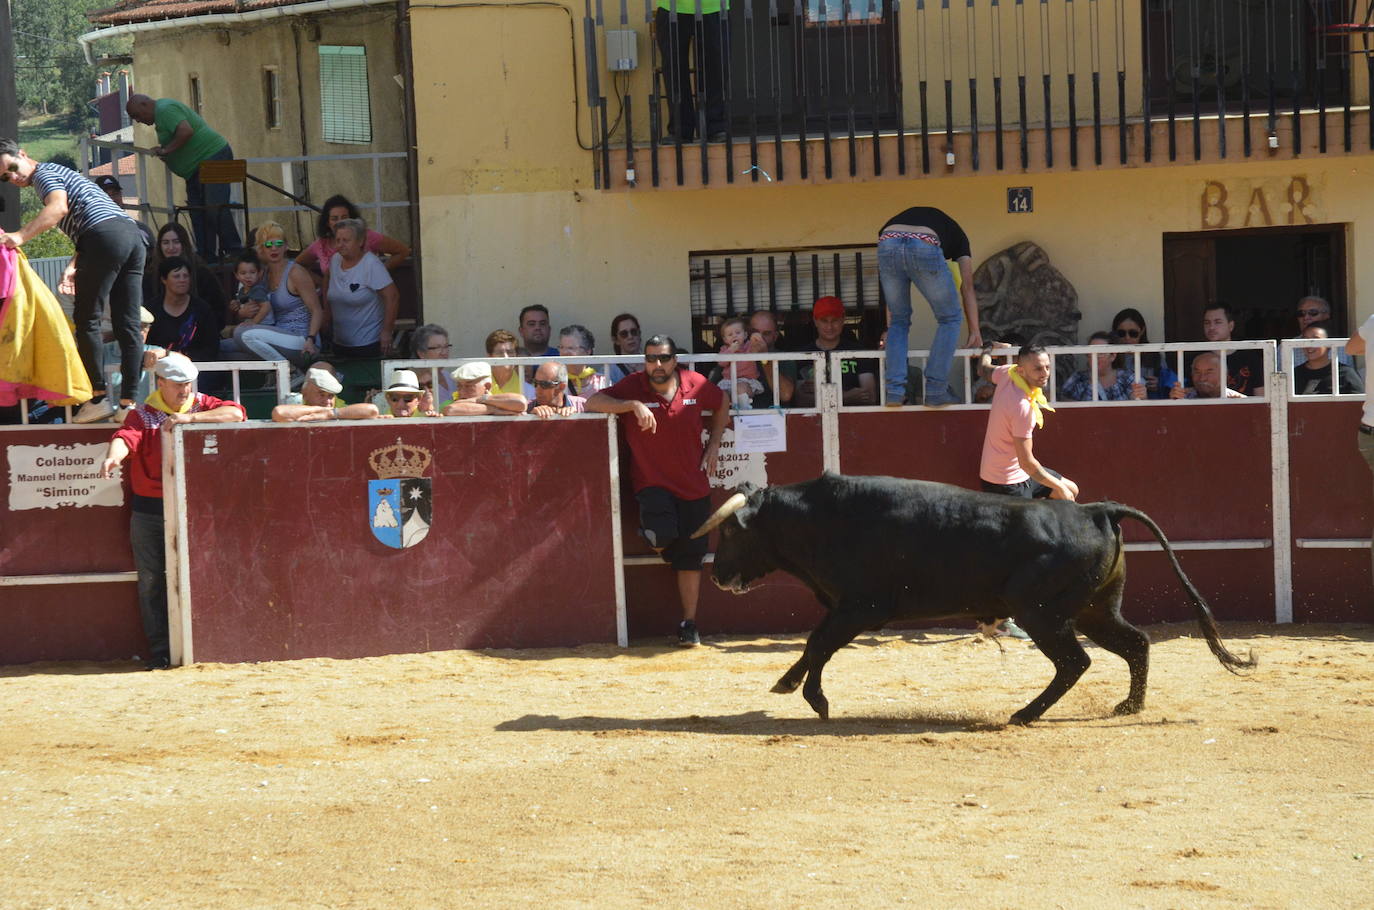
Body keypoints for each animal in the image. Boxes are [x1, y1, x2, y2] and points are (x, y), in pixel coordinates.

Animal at [692, 478, 1258, 725]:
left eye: (732, 534)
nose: (717, 575)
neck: (819, 519)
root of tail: (1096, 510)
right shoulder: (843, 608)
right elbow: (814, 644)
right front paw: (792, 686)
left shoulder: (859, 608)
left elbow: (819, 645)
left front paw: (812, 698)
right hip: (1094, 610)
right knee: (1135, 643)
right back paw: (1129, 706)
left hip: (1042, 614)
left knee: (1075, 661)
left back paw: (1024, 714)